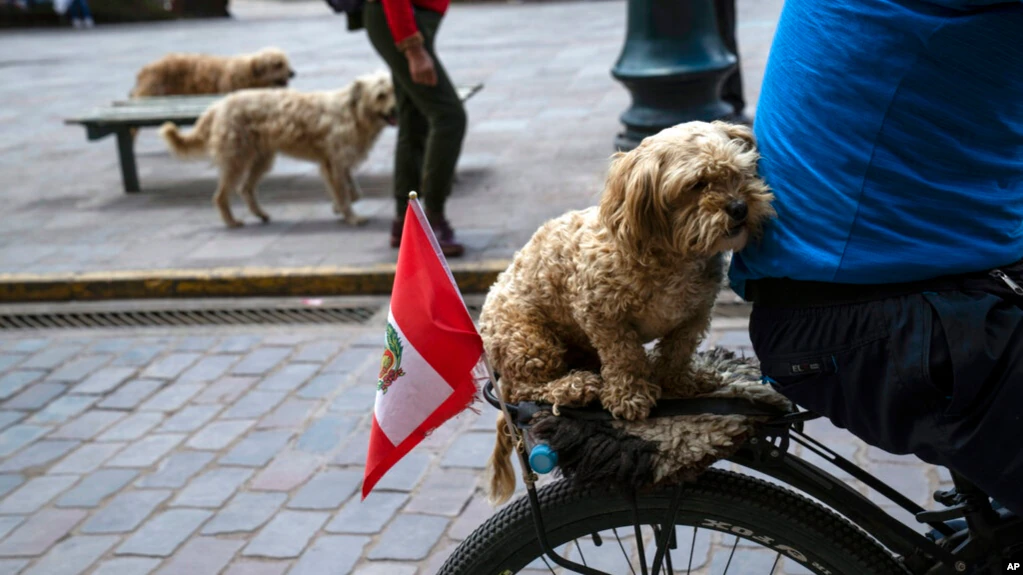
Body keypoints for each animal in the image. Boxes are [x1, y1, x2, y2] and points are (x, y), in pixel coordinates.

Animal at [161, 70, 396, 226]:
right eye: (381, 95)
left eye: (394, 90)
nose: (396, 109)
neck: (354, 112)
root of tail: (218, 105)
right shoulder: (334, 164)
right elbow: (345, 193)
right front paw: (351, 216)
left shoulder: (340, 162)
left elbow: (354, 192)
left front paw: (337, 207)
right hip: (236, 160)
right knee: (220, 195)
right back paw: (232, 222)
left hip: (261, 159)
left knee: (245, 188)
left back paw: (260, 214)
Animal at [478, 120, 773, 501]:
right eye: (696, 185)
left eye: (741, 173)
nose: (739, 207)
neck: (674, 254)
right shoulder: (600, 312)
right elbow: (624, 355)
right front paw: (630, 395)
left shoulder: (694, 314)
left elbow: (678, 350)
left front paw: (681, 381)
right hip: (530, 340)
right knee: (524, 390)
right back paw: (574, 386)